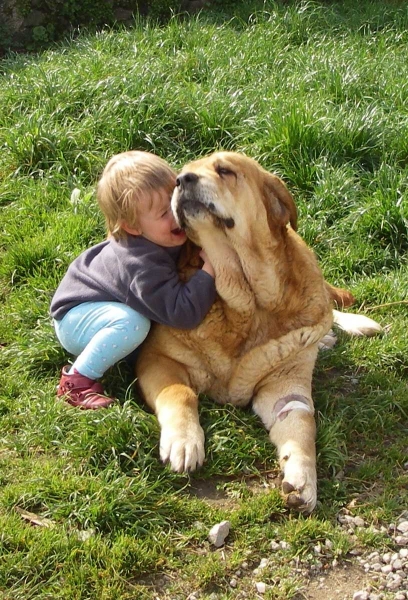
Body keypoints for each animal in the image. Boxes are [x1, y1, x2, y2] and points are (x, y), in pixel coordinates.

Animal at [137, 152, 382, 512]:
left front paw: (303, 477)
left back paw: (346, 326)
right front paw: (184, 441)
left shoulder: (284, 384)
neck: (247, 303)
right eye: (178, 176)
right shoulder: (157, 357)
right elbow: (179, 393)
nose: (183, 181)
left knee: (326, 304)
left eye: (225, 170)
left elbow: (302, 424)